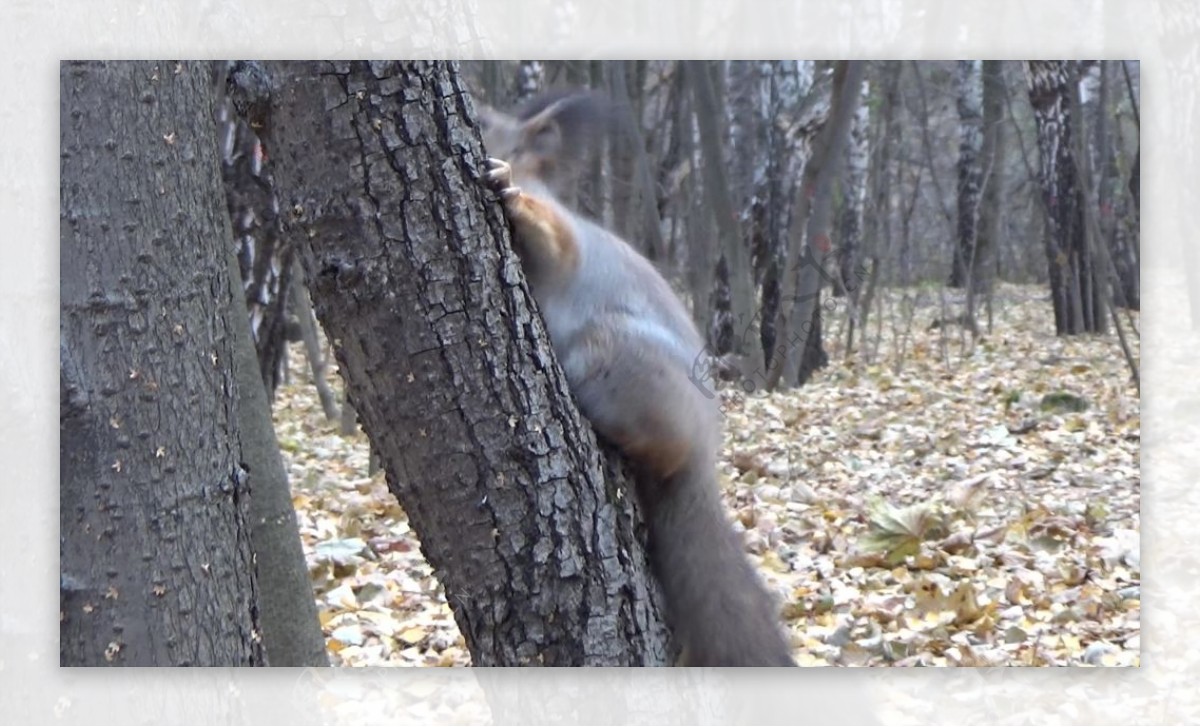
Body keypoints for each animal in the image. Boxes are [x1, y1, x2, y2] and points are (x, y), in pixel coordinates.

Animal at [477, 89, 796, 667]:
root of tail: (702, 451)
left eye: (487, 119)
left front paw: (509, 190)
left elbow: (552, 234)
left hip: (616, 357)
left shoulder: (567, 243)